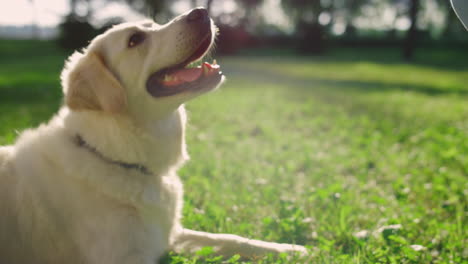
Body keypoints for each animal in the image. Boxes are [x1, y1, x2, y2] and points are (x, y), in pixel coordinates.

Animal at [0, 7, 308, 262]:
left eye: (155, 25)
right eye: (135, 39)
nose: (201, 12)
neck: (115, 154)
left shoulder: (169, 234)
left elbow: (230, 239)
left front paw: (290, 249)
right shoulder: (127, 257)